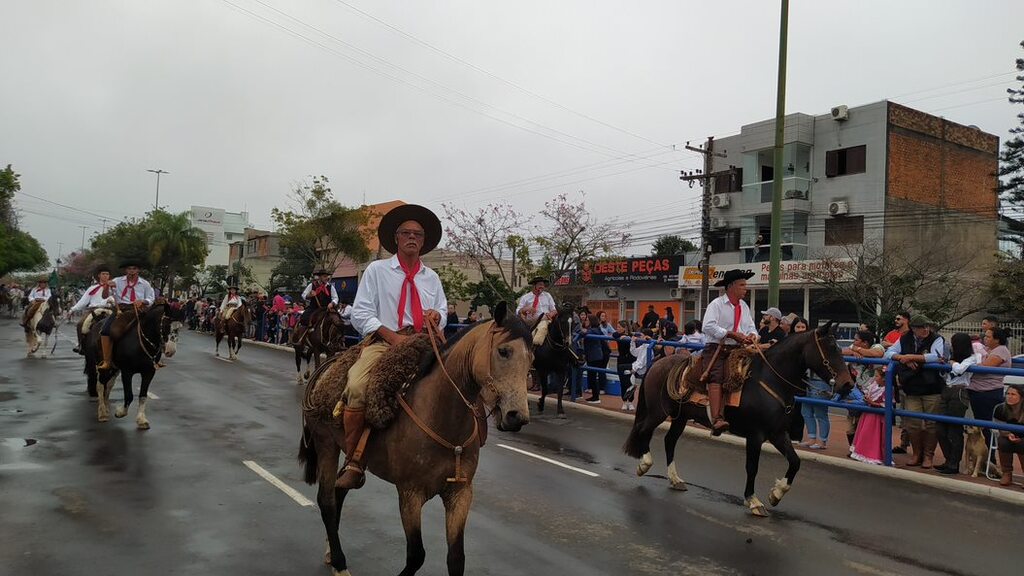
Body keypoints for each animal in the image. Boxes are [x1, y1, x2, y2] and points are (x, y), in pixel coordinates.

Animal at [296, 301, 532, 573]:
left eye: (532, 359)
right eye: (504, 351)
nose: (517, 417)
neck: (441, 417)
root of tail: (326, 367)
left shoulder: (461, 494)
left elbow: (456, 558)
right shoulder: (410, 494)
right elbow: (416, 554)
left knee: (338, 492)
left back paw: (330, 551)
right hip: (326, 444)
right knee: (326, 501)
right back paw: (339, 561)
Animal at [622, 323, 856, 516]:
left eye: (839, 348)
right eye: (830, 348)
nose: (847, 384)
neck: (770, 381)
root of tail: (658, 363)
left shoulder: (778, 433)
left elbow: (795, 462)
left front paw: (776, 493)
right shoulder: (755, 435)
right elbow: (752, 467)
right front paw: (753, 501)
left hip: (681, 417)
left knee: (669, 440)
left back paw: (674, 478)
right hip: (657, 412)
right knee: (644, 430)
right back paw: (644, 464)